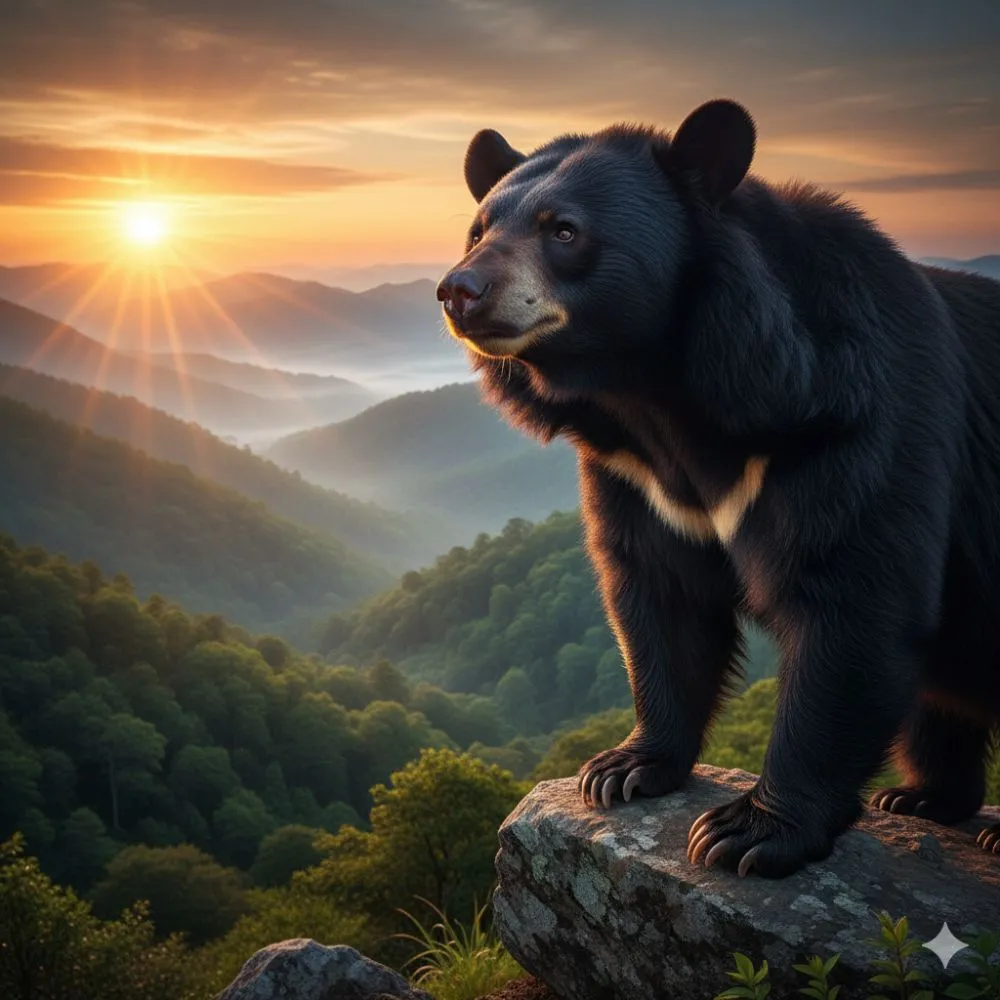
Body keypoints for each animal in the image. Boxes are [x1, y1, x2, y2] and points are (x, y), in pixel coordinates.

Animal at [435, 97, 1000, 878]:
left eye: (564, 230)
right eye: (479, 229)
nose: (459, 291)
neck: (661, 390)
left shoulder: (858, 427)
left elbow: (852, 600)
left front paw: (747, 831)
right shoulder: (637, 476)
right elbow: (660, 597)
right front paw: (621, 769)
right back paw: (920, 800)